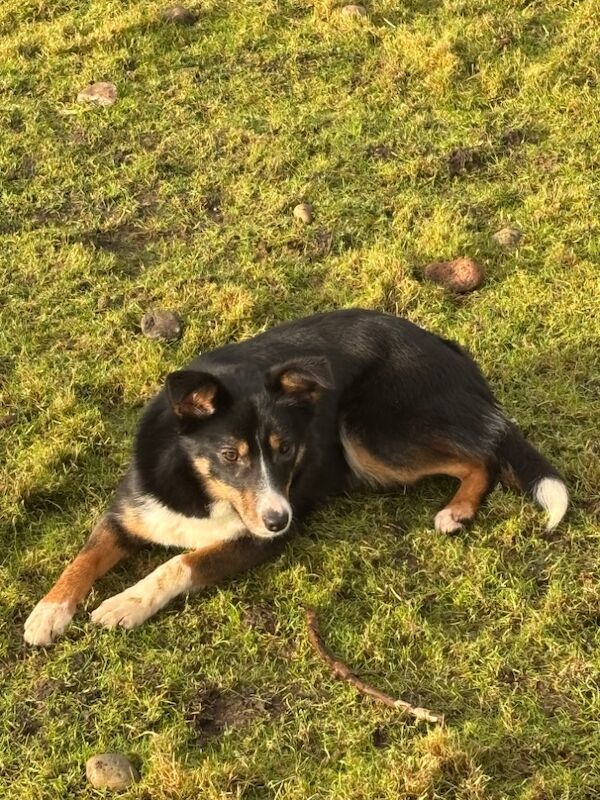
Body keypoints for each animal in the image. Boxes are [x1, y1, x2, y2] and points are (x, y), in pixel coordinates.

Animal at [23, 310, 568, 648]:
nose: (279, 520)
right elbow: (84, 557)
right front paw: (49, 611)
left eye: (285, 449)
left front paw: (125, 603)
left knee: (484, 456)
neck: (199, 489)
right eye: (230, 454)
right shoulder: (127, 512)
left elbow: (177, 564)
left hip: (368, 434)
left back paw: (457, 508)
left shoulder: (252, 543)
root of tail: (453, 353)